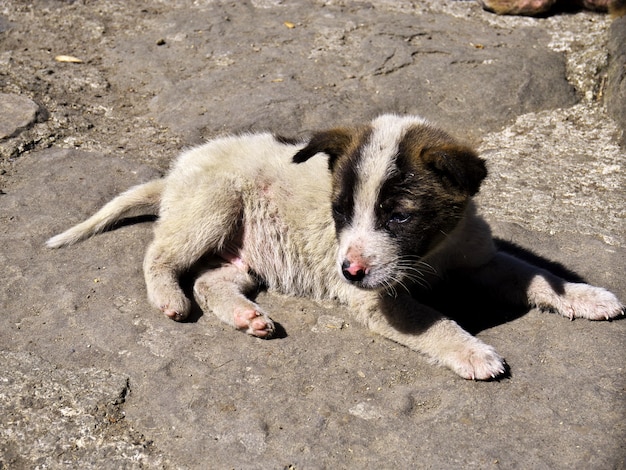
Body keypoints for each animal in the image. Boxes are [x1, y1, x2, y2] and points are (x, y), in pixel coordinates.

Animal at [46, 114, 620, 382]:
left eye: (399, 216)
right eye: (339, 212)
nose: (348, 272)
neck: (431, 255)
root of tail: (174, 175)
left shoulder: (480, 259)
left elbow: (535, 276)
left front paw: (585, 295)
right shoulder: (380, 299)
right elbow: (438, 322)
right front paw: (473, 352)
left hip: (241, 256)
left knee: (211, 281)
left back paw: (247, 316)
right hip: (211, 208)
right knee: (160, 254)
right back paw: (168, 296)